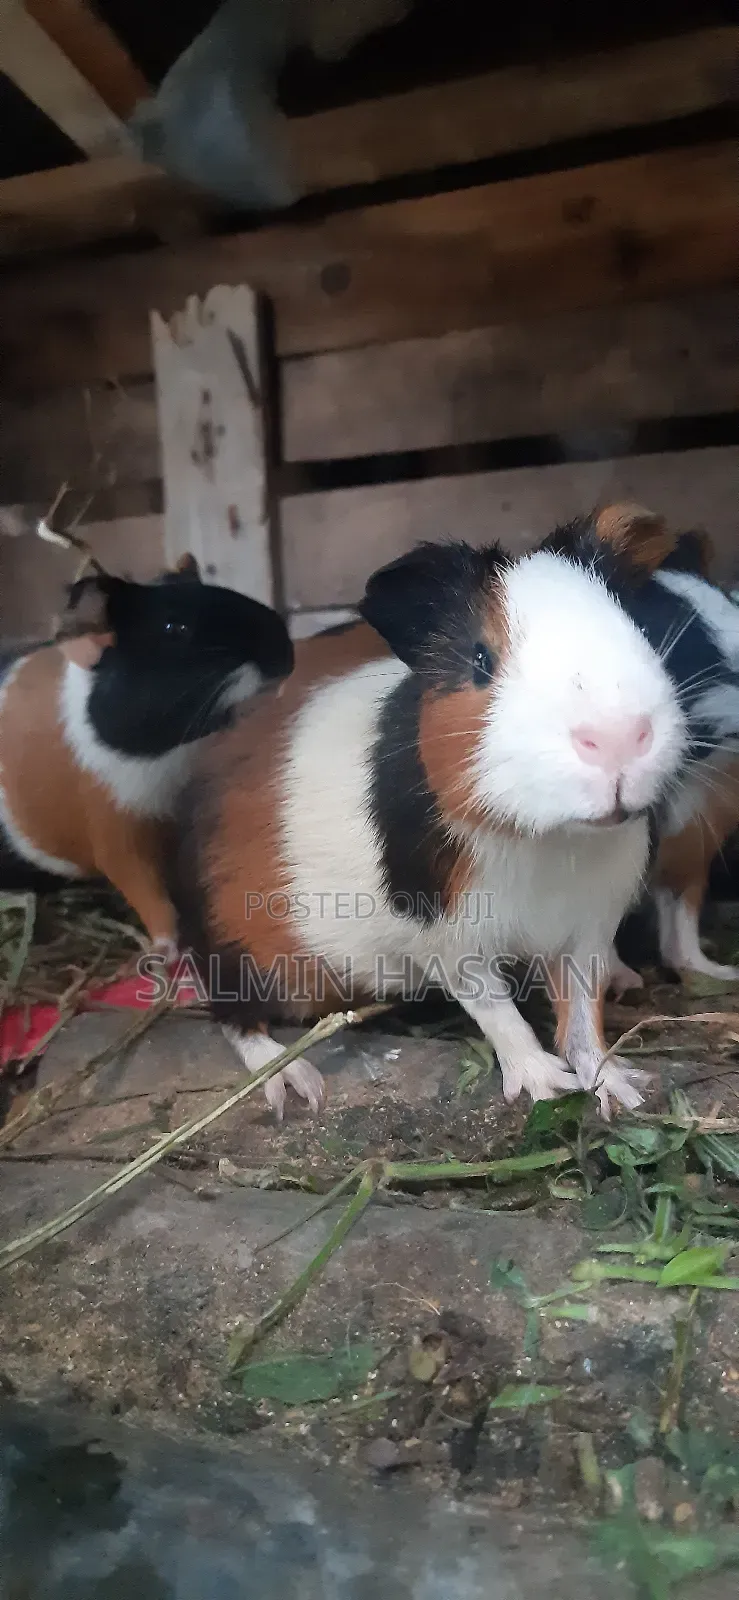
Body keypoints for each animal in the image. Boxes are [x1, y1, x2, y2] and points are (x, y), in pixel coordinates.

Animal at [0, 554, 293, 954]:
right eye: (174, 627)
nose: (286, 653)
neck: (175, 752)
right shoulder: (118, 836)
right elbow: (150, 896)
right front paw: (167, 951)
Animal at [168, 507, 688, 1121]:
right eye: (481, 660)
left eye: (639, 631)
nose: (616, 737)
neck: (550, 844)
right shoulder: (450, 943)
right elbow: (499, 1014)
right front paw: (546, 1086)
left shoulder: (587, 929)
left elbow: (583, 1018)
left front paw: (624, 1090)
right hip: (240, 954)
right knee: (236, 1021)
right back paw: (297, 1086)